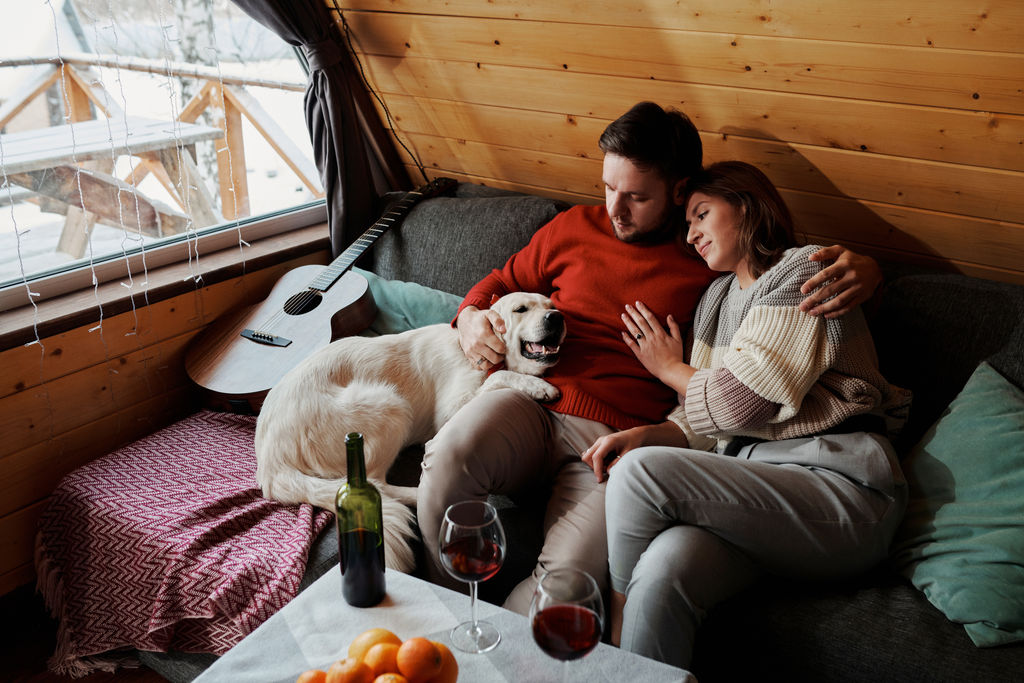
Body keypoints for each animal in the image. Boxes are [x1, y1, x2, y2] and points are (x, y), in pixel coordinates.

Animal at [253, 290, 561, 573]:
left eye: (552, 305)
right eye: (521, 309)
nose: (556, 318)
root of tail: (270, 465)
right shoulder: (450, 413)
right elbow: (500, 376)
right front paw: (538, 386)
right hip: (389, 403)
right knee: (375, 485)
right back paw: (418, 495)